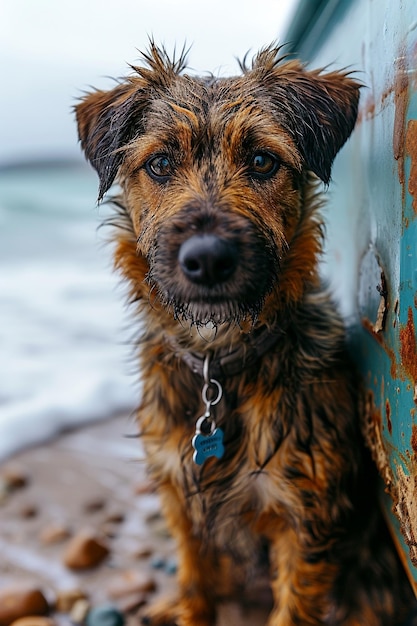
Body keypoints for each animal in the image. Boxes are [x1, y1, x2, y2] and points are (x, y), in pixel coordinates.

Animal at [75, 44, 412, 624]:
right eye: (160, 163)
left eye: (261, 161)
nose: (208, 258)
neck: (219, 359)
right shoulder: (180, 499)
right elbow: (194, 583)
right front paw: (187, 607)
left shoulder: (304, 519)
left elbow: (293, 605)